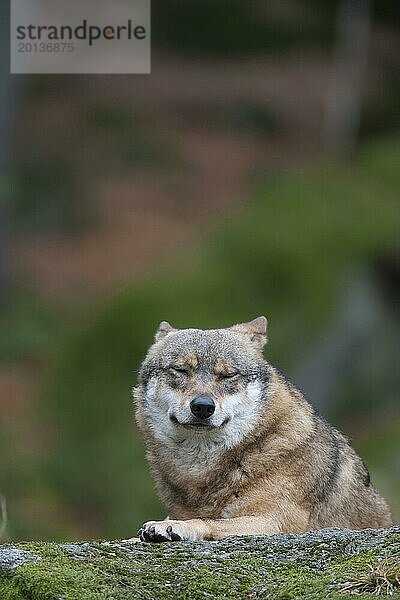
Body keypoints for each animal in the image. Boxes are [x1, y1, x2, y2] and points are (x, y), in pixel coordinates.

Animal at [133, 316, 392, 540]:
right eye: (180, 370)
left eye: (228, 375)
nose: (203, 407)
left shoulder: (274, 521)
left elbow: (208, 521)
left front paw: (174, 526)